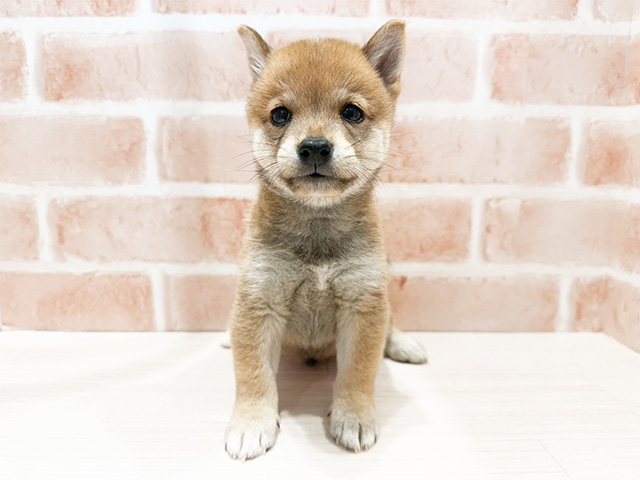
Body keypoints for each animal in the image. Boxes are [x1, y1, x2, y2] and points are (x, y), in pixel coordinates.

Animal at [225, 19, 424, 462]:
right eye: (280, 115)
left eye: (352, 112)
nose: (315, 146)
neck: (317, 233)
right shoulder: (259, 302)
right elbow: (252, 374)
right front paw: (251, 424)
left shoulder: (363, 302)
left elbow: (358, 372)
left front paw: (353, 418)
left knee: (391, 323)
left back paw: (403, 344)